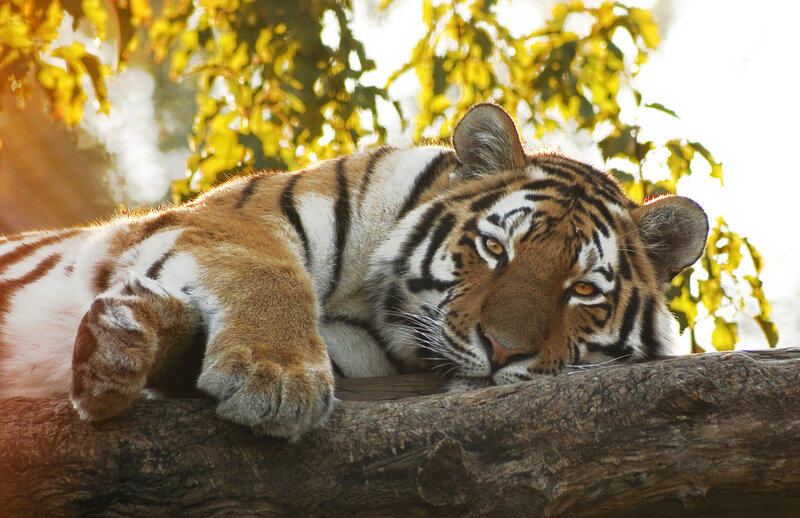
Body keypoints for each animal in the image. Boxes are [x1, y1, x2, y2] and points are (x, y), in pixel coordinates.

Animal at [0, 104, 708, 439]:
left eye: (582, 290)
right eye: (494, 249)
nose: (504, 350)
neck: (369, 307)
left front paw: (128, 339)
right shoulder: (222, 220)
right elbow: (269, 272)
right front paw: (277, 380)